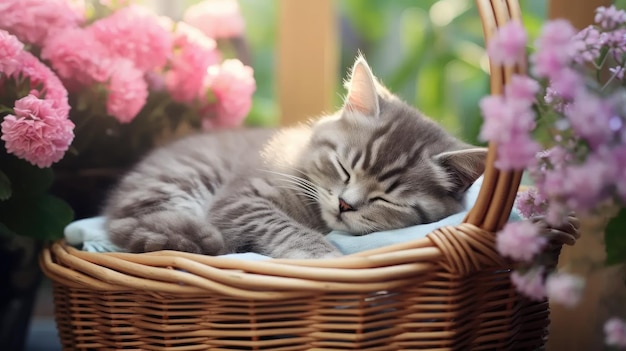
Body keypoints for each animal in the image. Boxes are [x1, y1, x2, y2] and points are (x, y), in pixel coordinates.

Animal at [102, 56, 486, 260]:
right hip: (183, 179)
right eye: (344, 168)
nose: (345, 204)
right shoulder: (243, 199)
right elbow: (281, 226)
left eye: (386, 199)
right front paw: (323, 255)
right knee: (136, 224)